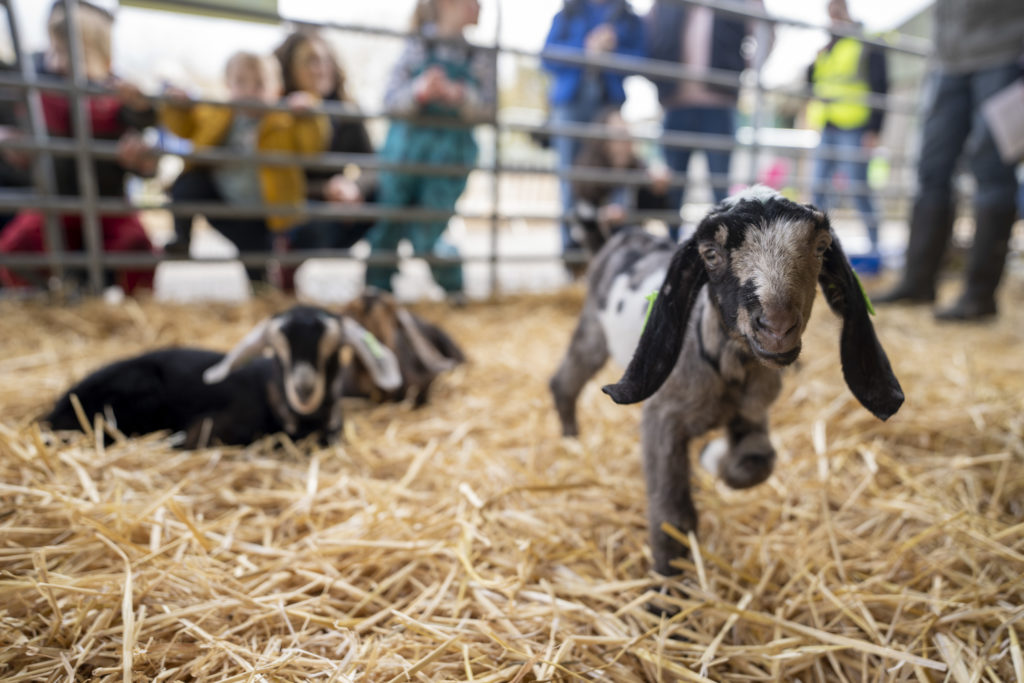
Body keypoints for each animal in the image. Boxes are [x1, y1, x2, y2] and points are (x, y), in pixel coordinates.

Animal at [552, 187, 905, 577]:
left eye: (821, 247)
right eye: (710, 254)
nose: (777, 327)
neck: (730, 372)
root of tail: (623, 236)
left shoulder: (751, 414)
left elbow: (757, 463)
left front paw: (713, 458)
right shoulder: (662, 419)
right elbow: (672, 512)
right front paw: (667, 580)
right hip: (593, 331)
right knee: (565, 379)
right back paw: (570, 437)